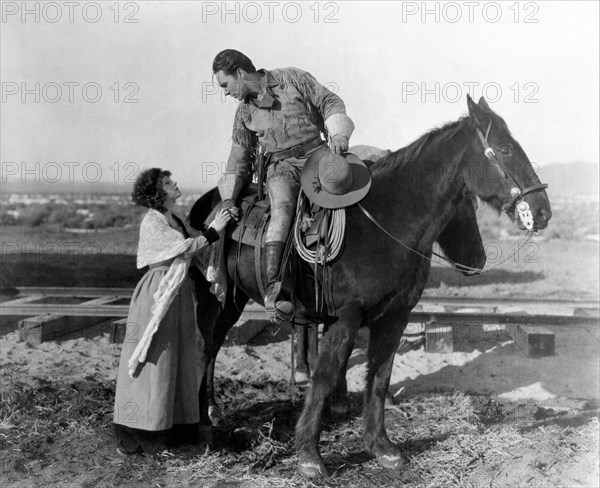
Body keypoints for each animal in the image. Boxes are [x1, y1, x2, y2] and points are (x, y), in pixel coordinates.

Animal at [190, 96, 552, 476]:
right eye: (505, 150)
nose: (542, 211)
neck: (386, 223)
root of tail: (209, 204)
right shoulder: (344, 319)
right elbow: (324, 379)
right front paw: (309, 454)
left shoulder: (395, 318)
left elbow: (379, 378)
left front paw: (382, 448)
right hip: (211, 298)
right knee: (203, 347)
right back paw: (203, 424)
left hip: (233, 301)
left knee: (213, 347)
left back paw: (213, 412)